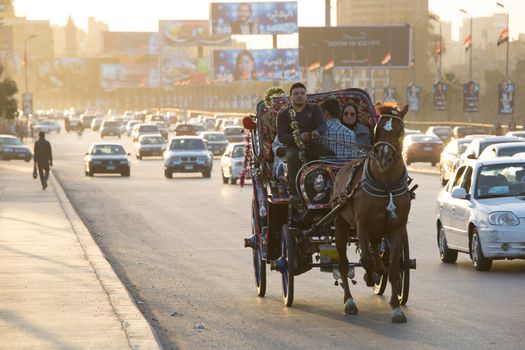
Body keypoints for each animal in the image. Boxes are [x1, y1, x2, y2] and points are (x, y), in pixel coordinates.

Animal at [330, 103, 412, 322]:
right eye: (378, 129)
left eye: (400, 131)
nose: (383, 158)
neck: (386, 184)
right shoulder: (362, 225)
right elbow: (365, 260)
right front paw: (369, 275)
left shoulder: (398, 227)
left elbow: (394, 268)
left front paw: (396, 308)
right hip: (341, 224)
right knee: (343, 263)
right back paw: (349, 300)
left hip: (379, 229)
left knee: (376, 248)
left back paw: (379, 269)